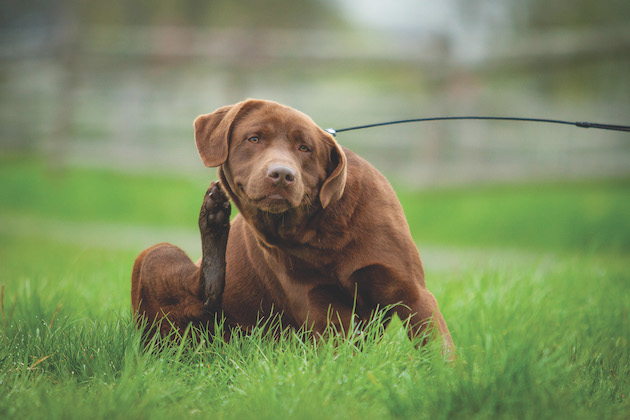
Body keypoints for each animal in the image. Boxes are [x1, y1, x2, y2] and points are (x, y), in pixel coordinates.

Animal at [132, 98, 454, 352]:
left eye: (305, 148)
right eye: (254, 139)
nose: (282, 174)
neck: (317, 229)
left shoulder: (411, 291)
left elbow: (435, 345)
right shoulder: (318, 305)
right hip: (156, 255)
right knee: (201, 297)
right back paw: (213, 218)